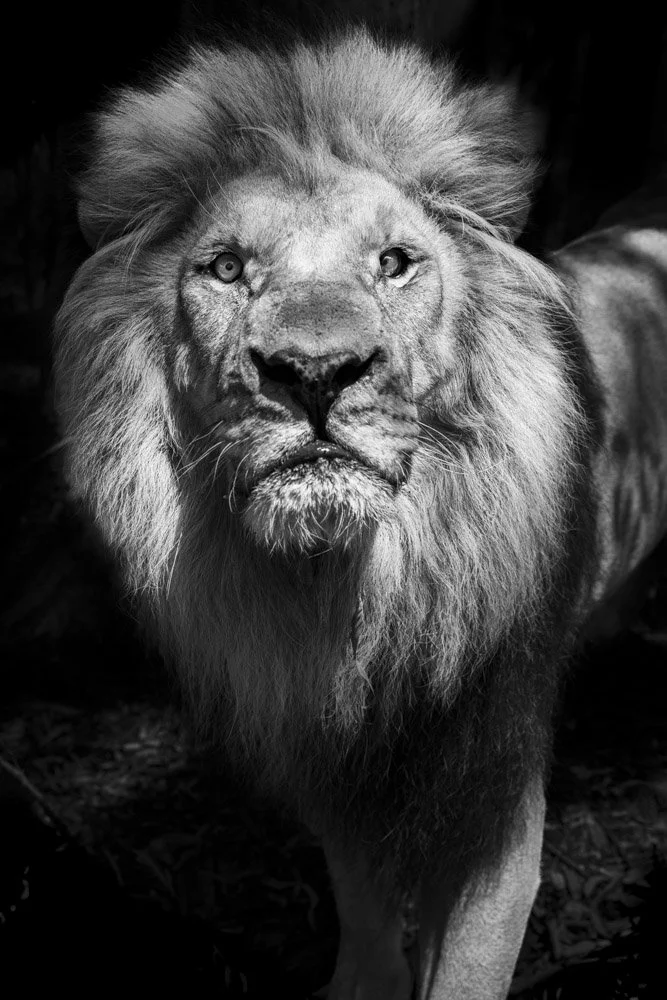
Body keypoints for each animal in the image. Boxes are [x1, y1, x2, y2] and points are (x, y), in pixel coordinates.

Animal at [52, 28, 667, 999]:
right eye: (226, 267)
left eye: (395, 263)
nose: (313, 372)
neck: (355, 589)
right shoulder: (333, 758)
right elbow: (366, 915)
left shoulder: (492, 804)